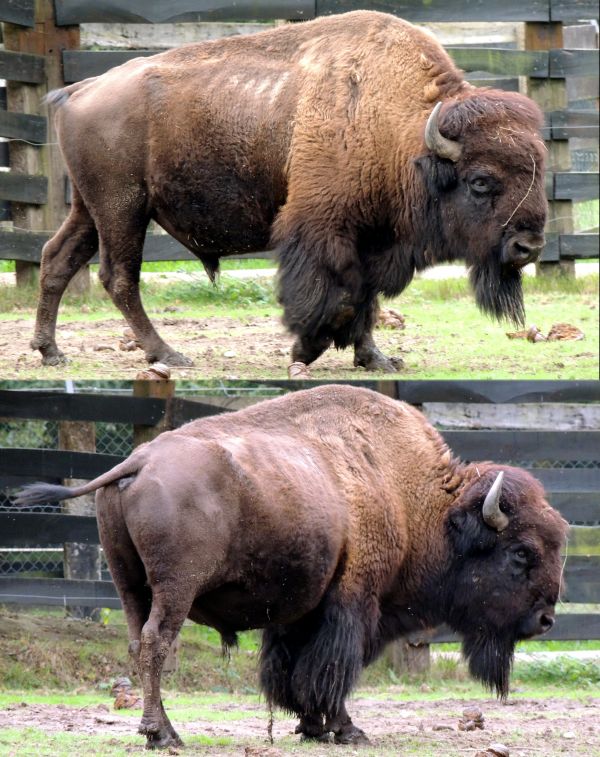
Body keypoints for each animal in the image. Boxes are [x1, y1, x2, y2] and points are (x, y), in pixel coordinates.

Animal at [15, 386, 568, 748]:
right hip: (175, 588)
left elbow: (293, 670)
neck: (416, 500)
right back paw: (163, 735)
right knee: (156, 642)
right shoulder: (353, 604)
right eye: (522, 553)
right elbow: (332, 668)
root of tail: (138, 461)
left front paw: (309, 726)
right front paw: (346, 730)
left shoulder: (299, 611)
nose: (546, 620)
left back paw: (160, 729)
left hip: (129, 582)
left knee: (136, 641)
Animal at [34, 11, 548, 376]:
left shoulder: (374, 239)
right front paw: (307, 348)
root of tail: (82, 89)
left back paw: (50, 351)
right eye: (480, 181)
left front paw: (376, 359)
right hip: (123, 208)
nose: (529, 246)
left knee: (57, 258)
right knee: (120, 277)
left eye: (539, 172)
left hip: (90, 208)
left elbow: (367, 299)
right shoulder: (322, 229)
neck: (395, 127)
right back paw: (167, 354)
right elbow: (340, 296)